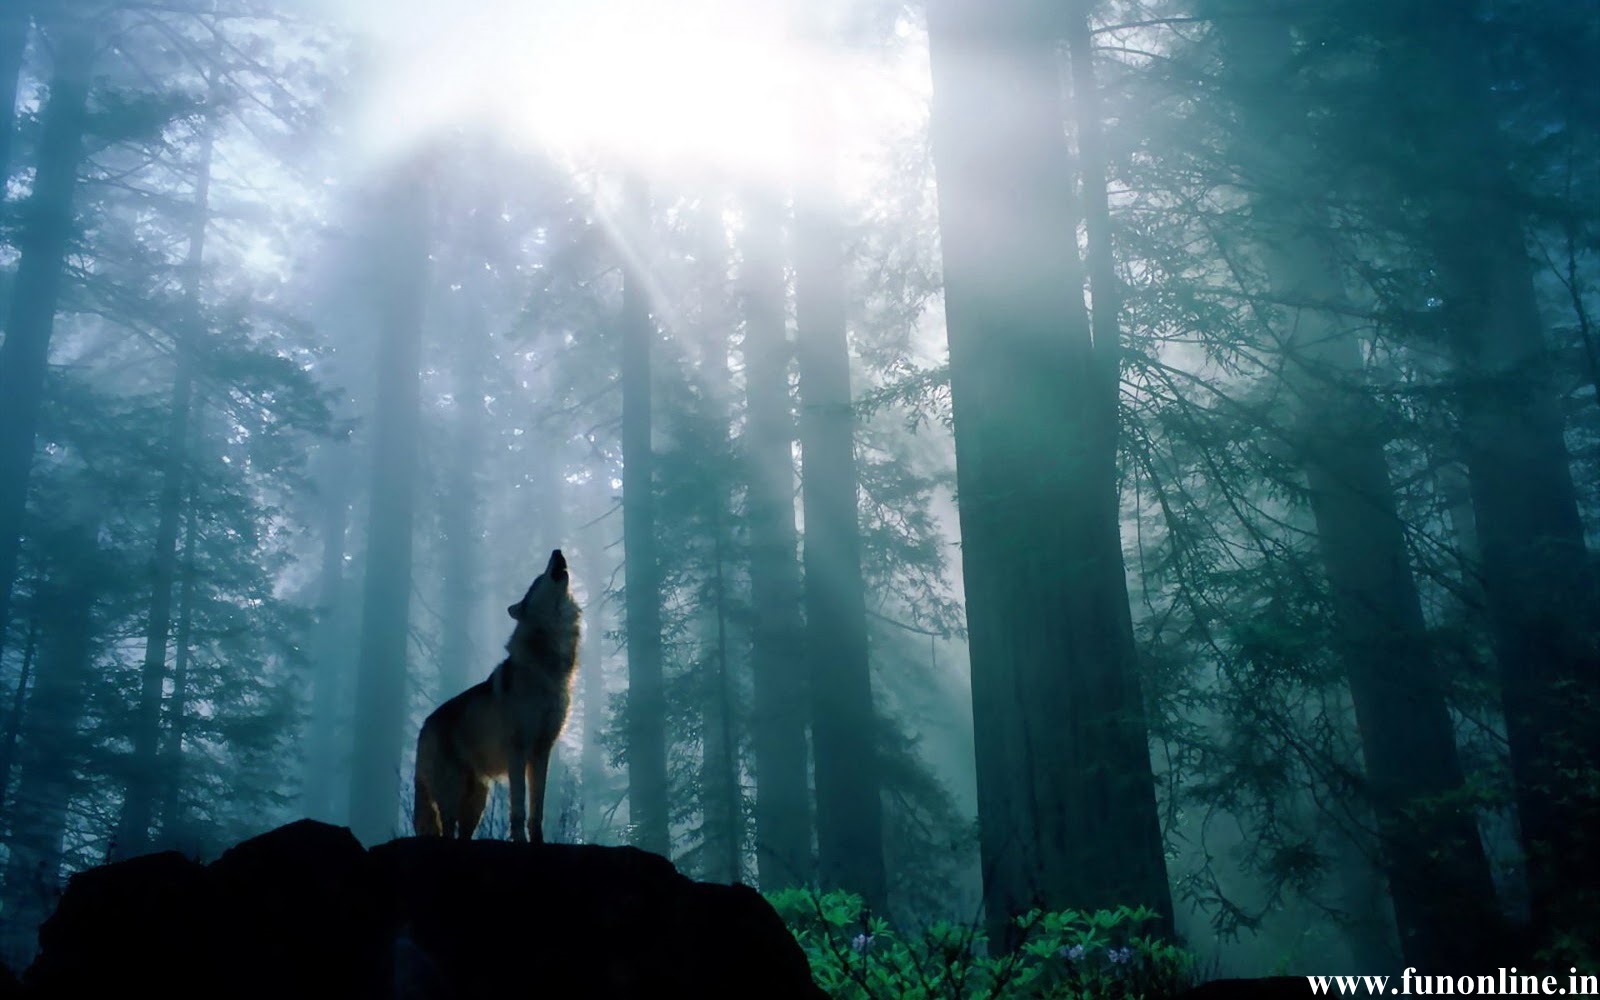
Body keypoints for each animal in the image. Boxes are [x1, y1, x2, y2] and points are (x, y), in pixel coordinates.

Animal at [412, 549, 582, 843]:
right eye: (538, 580)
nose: (557, 551)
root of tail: (424, 726)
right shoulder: (517, 750)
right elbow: (518, 808)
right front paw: (520, 840)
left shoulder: (541, 751)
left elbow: (536, 810)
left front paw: (538, 841)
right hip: (452, 794)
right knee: (447, 829)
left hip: (477, 801)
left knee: (462, 833)